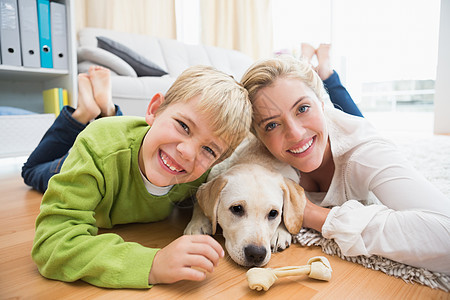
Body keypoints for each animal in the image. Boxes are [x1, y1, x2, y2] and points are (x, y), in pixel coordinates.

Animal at [183, 135, 306, 266]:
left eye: (273, 213)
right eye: (237, 208)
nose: (256, 254)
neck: (256, 159)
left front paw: (280, 232)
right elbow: (198, 203)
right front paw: (197, 224)